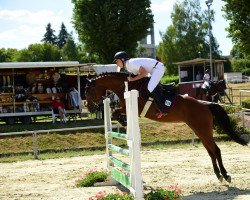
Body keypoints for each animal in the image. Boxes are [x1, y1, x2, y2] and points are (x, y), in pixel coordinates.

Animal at [85, 72, 248, 183]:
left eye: (88, 91)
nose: (90, 106)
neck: (127, 86)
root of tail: (205, 104)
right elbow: (115, 112)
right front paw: (123, 121)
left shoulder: (133, 107)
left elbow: (115, 111)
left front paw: (124, 121)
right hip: (200, 132)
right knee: (211, 152)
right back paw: (219, 175)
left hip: (204, 131)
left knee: (216, 150)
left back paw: (226, 175)